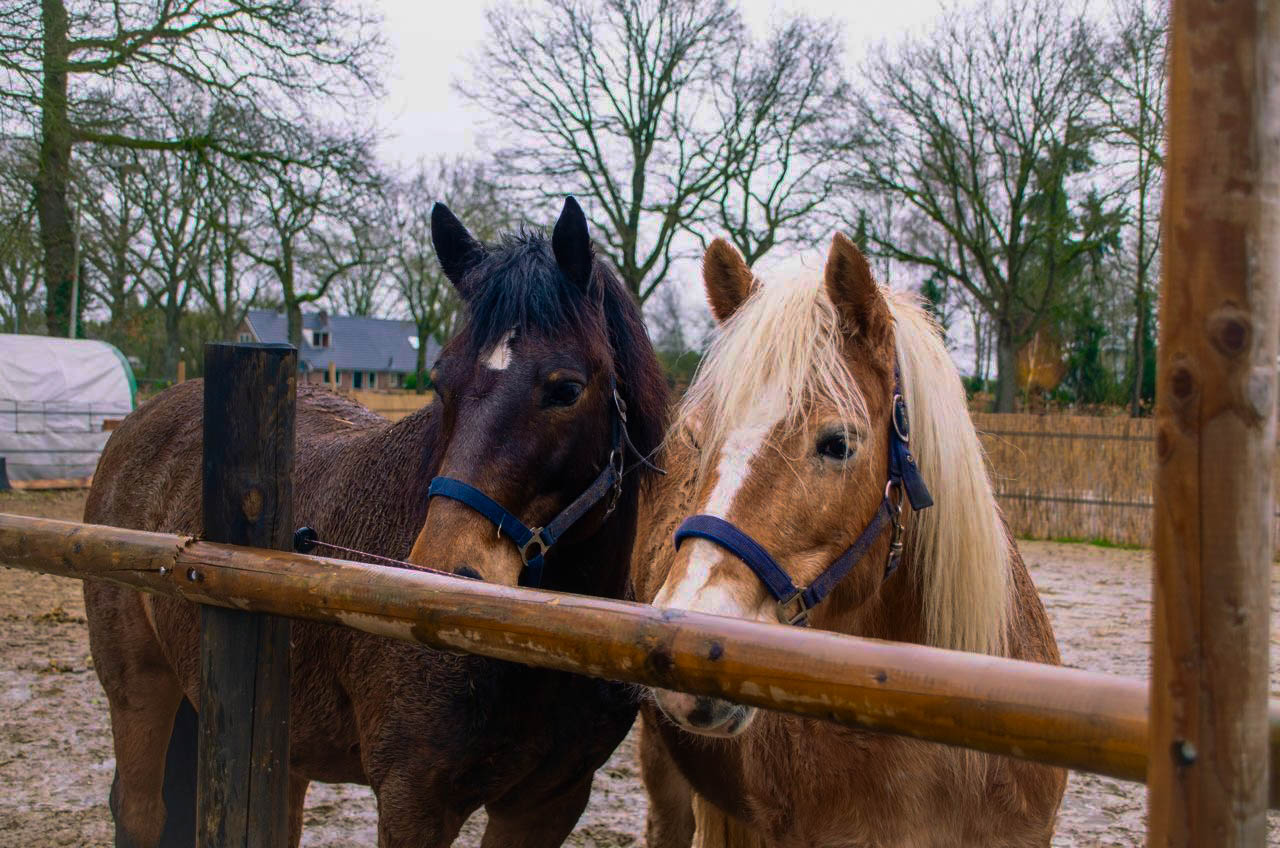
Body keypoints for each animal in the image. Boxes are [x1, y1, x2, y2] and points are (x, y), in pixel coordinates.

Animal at [82, 197, 668, 848]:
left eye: (566, 389)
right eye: (440, 382)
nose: (439, 576)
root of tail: (142, 417)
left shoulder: (549, 802)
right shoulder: (414, 801)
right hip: (140, 688)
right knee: (139, 810)